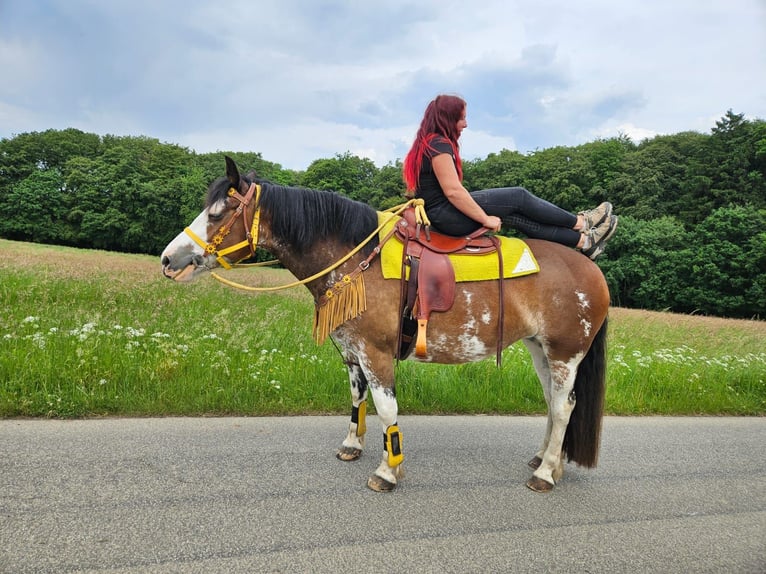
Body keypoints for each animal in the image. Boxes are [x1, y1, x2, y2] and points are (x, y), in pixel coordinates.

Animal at [160, 156, 610, 493]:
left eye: (217, 212)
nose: (168, 259)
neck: (356, 259)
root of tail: (589, 267)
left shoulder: (376, 353)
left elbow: (386, 409)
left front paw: (387, 471)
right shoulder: (352, 353)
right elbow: (357, 400)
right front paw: (351, 445)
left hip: (566, 353)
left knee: (564, 406)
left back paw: (545, 473)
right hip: (539, 349)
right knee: (552, 403)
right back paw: (546, 459)